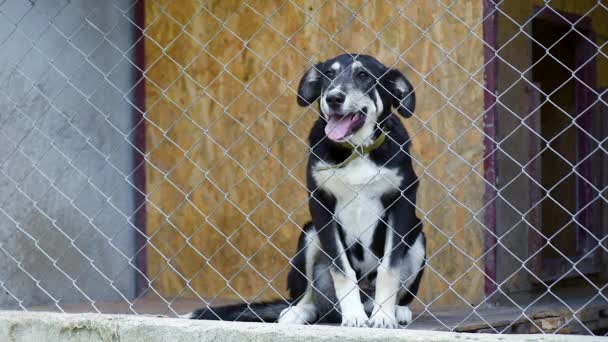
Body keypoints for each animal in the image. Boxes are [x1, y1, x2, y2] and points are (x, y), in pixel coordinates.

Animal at [188, 54, 426, 328]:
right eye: (328, 75)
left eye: (363, 75)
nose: (333, 98)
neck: (356, 151)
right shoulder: (321, 205)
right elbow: (342, 270)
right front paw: (354, 316)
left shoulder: (402, 202)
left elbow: (389, 268)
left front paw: (383, 316)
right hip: (310, 235)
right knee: (309, 298)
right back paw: (300, 312)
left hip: (418, 235)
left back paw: (395, 310)